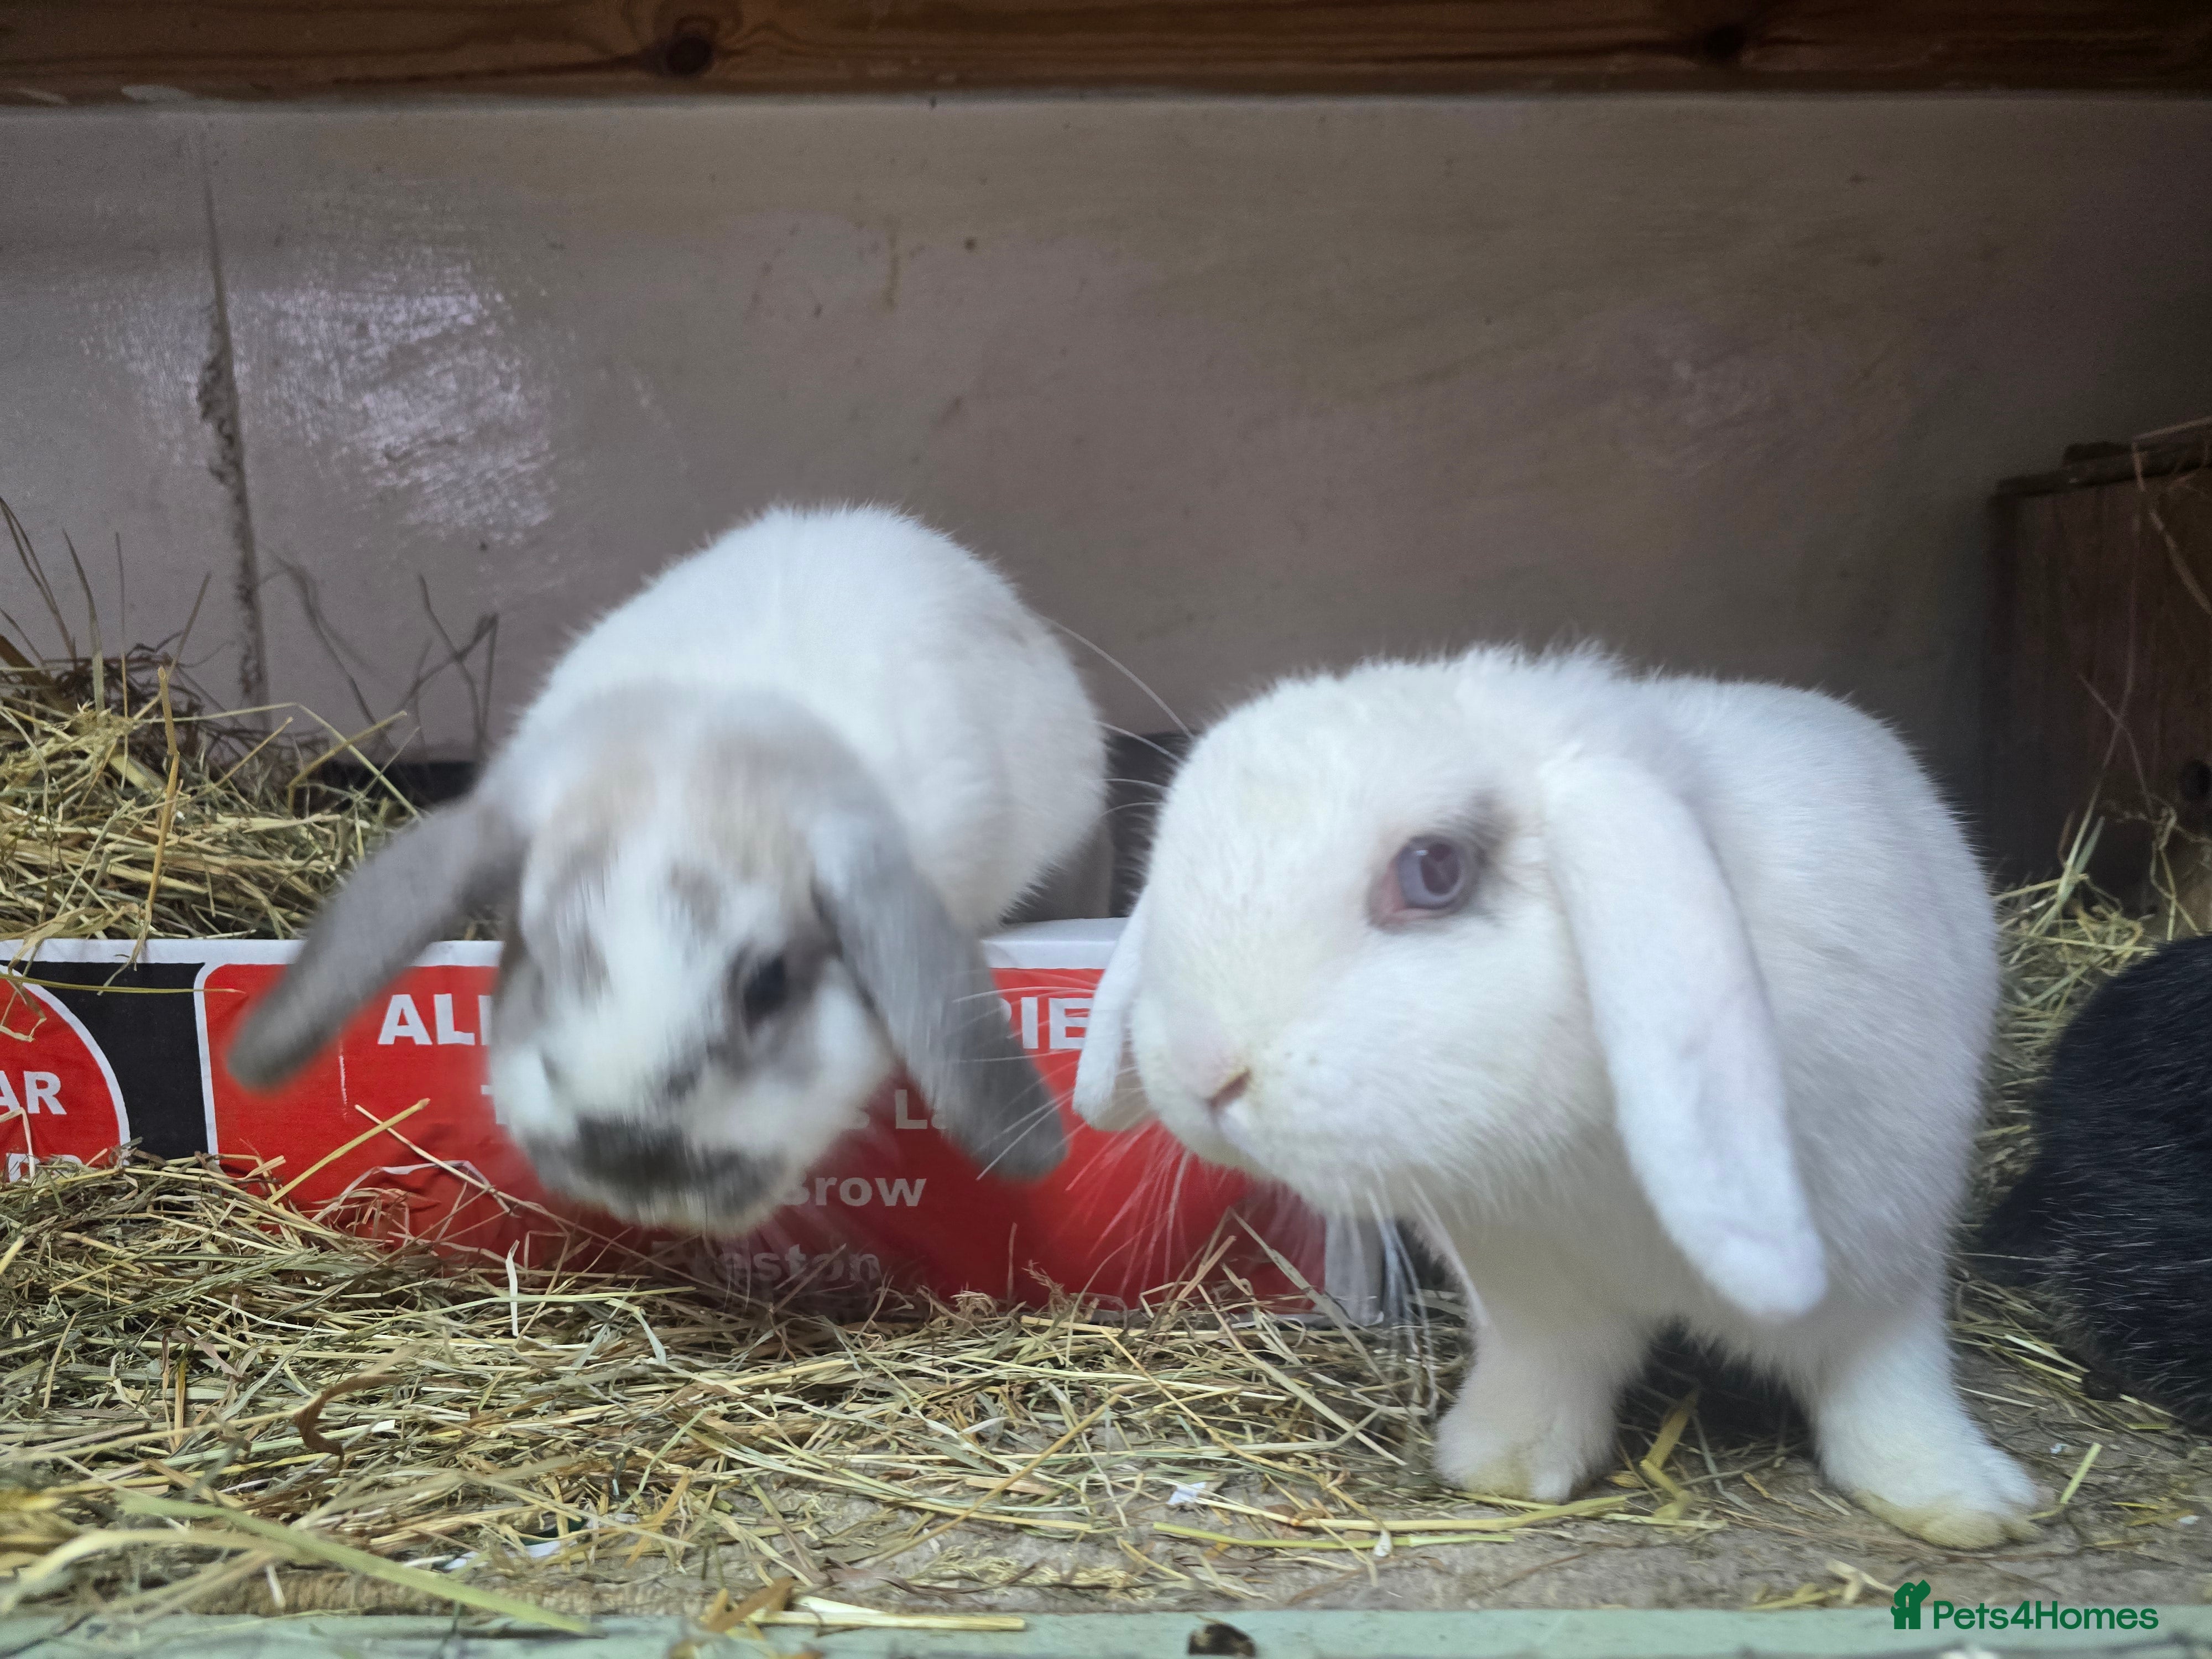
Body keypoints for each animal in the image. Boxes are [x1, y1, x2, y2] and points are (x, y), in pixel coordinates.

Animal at [1073, 643, 2041, 1548]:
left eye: (1435, 870)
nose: (1202, 1068)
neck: (1596, 1162)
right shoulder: (1534, 1302)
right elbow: (1549, 1377)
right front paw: (1498, 1463)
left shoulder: (1883, 1264)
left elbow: (1887, 1380)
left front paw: (1960, 1503)